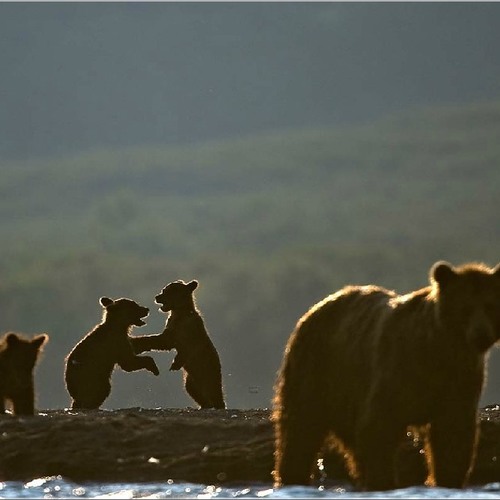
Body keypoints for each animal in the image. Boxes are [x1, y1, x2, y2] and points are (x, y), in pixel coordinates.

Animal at [274, 264, 500, 490]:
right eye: (465, 307)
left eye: (489, 305)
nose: (481, 335)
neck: (439, 350)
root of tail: (313, 310)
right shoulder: (397, 369)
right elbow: (379, 426)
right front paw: (383, 480)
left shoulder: (459, 379)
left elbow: (453, 434)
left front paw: (448, 480)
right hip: (318, 369)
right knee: (301, 427)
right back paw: (292, 476)